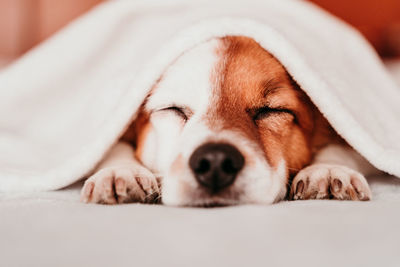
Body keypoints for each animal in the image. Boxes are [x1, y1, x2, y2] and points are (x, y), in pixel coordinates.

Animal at [79, 35, 376, 207]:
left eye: (270, 110)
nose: (215, 161)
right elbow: (114, 145)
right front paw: (119, 171)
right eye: (173, 109)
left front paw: (327, 169)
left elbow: (344, 145)